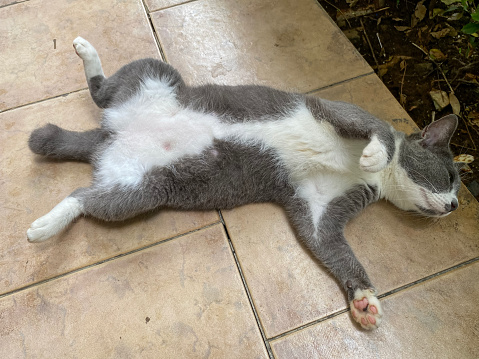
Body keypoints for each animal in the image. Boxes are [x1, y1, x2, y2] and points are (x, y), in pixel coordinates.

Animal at [25, 35, 462, 330]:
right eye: (453, 176)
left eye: (458, 188)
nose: (455, 205)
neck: (366, 176)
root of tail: (109, 135)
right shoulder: (338, 110)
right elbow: (381, 132)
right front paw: (376, 153)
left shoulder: (316, 208)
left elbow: (330, 247)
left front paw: (364, 300)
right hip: (153, 74)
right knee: (100, 92)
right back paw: (86, 52)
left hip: (138, 189)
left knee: (84, 196)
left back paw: (45, 224)